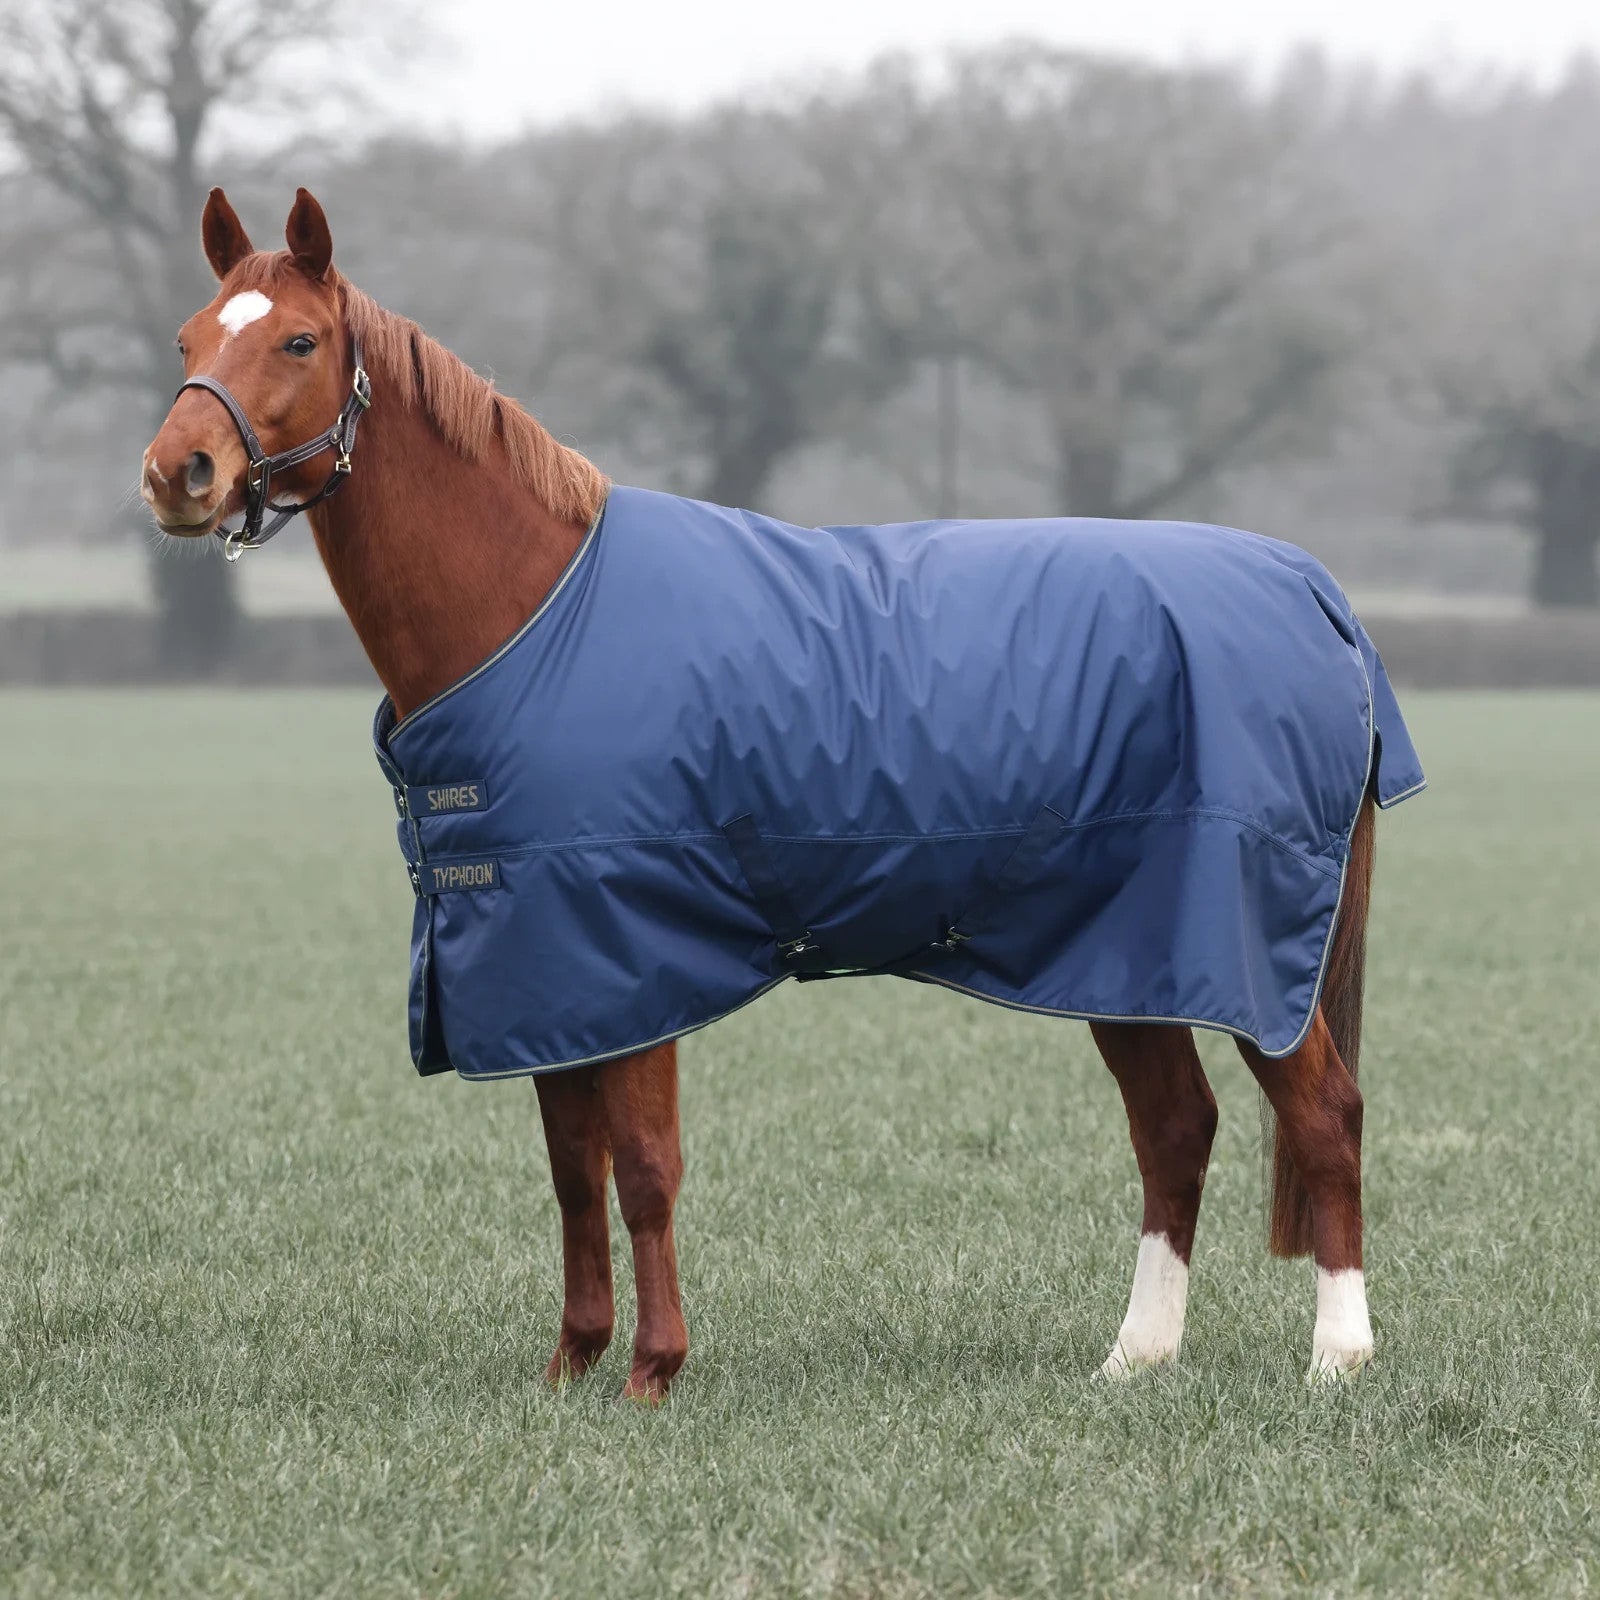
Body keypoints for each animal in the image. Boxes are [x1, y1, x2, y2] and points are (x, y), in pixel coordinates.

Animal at [142, 187, 1418, 1402]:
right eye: (190, 336)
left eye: (300, 340)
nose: (176, 474)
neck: (538, 612)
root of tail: (1317, 597)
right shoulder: (545, 967)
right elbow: (572, 1173)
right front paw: (571, 1363)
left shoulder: (632, 955)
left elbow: (644, 1169)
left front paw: (652, 1371)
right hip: (1127, 950)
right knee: (1175, 1129)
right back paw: (1136, 1358)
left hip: (1242, 949)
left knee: (1322, 1115)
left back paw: (1338, 1357)